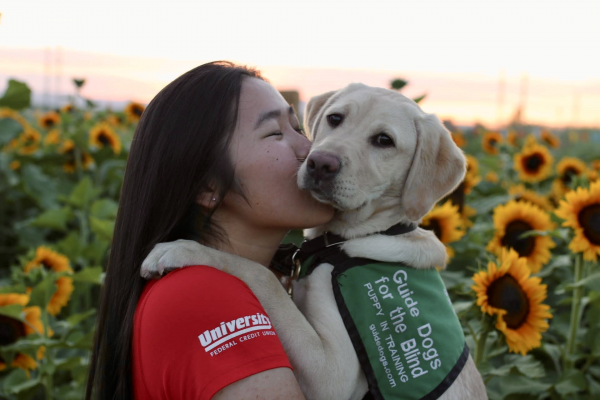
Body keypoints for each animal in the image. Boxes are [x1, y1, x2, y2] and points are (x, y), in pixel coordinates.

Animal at [142, 83, 488, 398]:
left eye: (384, 141)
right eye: (335, 118)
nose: (320, 163)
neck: (340, 242)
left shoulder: (333, 376)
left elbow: (262, 275)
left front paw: (182, 249)